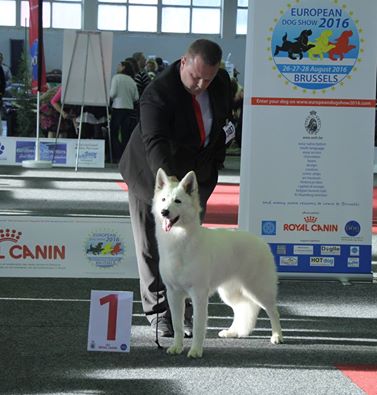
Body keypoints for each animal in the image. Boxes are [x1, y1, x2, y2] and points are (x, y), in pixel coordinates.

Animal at [153, 169, 282, 360]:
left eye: (177, 201)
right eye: (163, 199)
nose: (164, 211)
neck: (179, 240)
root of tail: (261, 241)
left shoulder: (198, 294)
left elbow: (198, 325)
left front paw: (195, 350)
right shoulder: (173, 293)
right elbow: (177, 325)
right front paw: (177, 347)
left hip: (258, 289)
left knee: (272, 310)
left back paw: (277, 336)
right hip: (229, 293)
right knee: (243, 308)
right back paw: (233, 332)